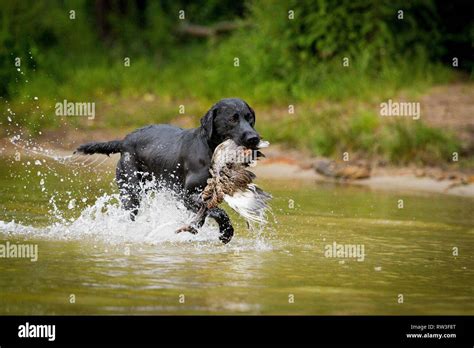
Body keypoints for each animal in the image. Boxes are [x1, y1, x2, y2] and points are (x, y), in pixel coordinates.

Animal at [75, 97, 260, 245]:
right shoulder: (186, 196)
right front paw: (225, 232)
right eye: (232, 119)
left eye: (250, 118)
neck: (210, 149)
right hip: (132, 193)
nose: (254, 138)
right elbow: (217, 211)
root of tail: (124, 141)